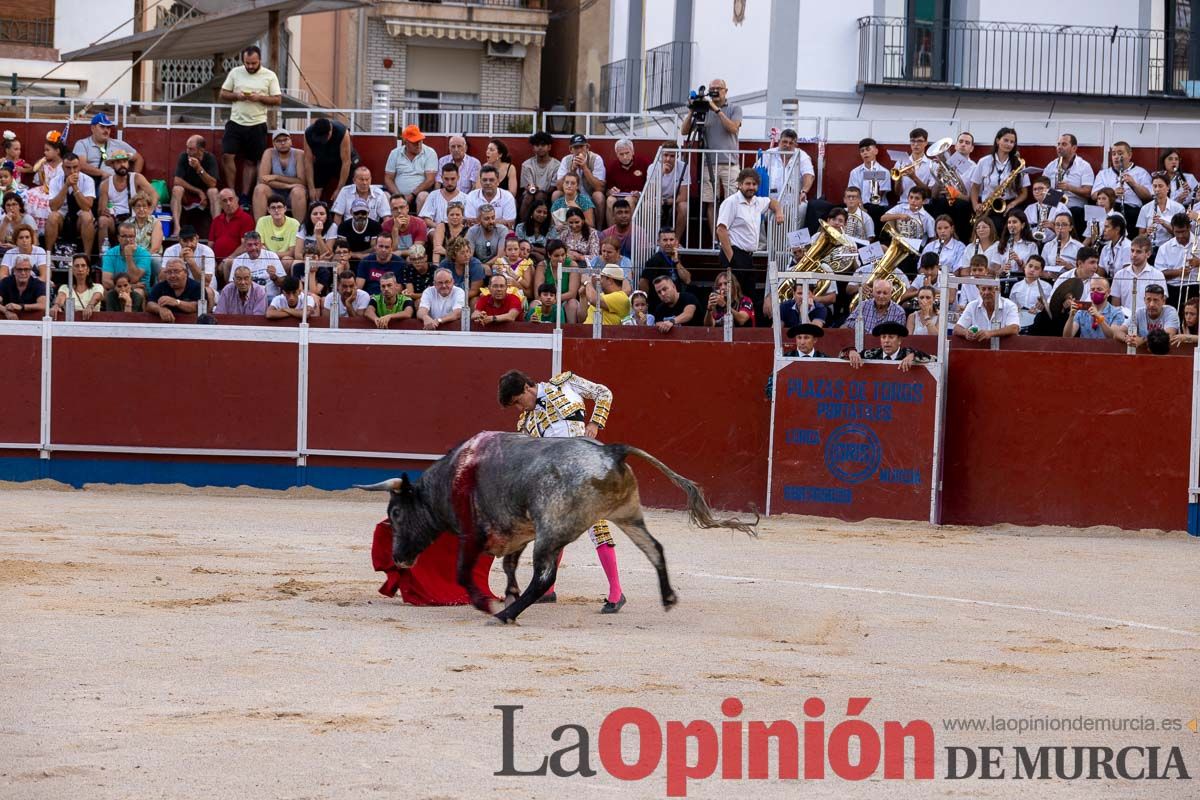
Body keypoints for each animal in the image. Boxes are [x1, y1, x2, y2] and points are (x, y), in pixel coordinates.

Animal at [352, 431, 758, 623]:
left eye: (396, 514)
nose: (399, 558)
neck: (449, 479)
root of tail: (610, 451)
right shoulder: (516, 532)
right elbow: (508, 567)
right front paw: (507, 593)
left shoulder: (474, 534)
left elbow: (464, 572)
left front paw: (487, 602)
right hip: (627, 514)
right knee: (654, 549)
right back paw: (669, 597)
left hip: (552, 530)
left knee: (545, 575)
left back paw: (504, 616)